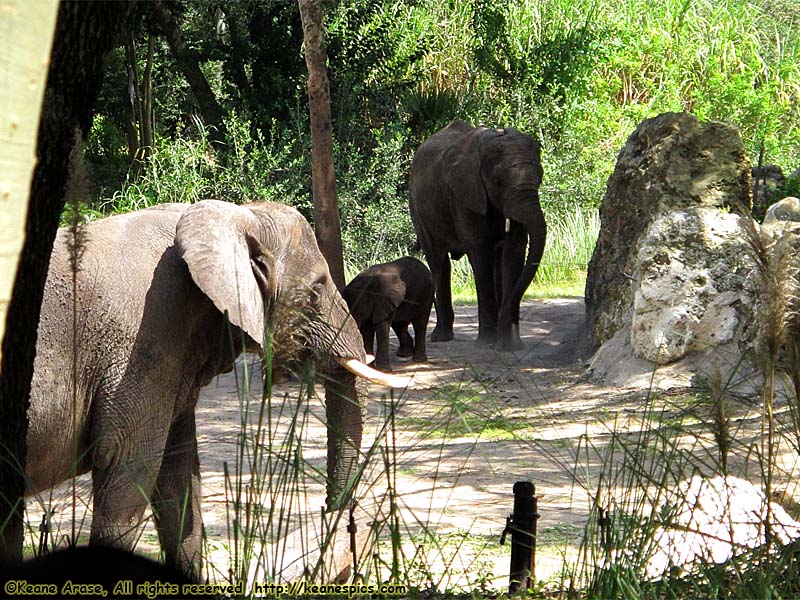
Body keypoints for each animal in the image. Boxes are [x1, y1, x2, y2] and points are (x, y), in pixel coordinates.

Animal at [26, 200, 406, 576]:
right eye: (315, 290)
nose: (334, 515)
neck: (234, 216)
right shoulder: (142, 346)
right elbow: (129, 466)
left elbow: (179, 481)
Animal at [410, 119, 548, 350]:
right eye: (498, 182)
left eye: (540, 178)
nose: (503, 340)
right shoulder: (463, 195)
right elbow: (480, 252)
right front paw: (488, 342)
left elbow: (514, 251)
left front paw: (510, 345)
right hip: (418, 209)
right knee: (439, 262)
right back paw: (441, 337)